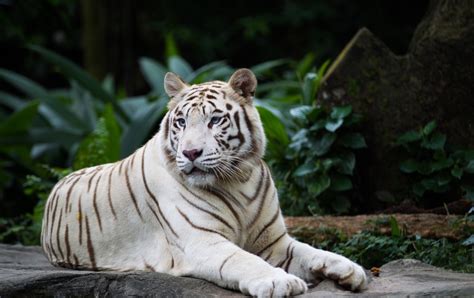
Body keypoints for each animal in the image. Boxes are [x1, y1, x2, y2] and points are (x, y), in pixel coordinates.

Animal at [40, 69, 368, 296]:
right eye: (181, 122)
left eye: (215, 120)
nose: (190, 152)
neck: (238, 179)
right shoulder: (202, 241)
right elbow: (244, 261)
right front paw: (280, 282)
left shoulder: (274, 242)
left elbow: (311, 251)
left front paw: (350, 269)